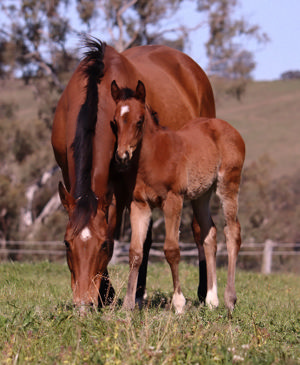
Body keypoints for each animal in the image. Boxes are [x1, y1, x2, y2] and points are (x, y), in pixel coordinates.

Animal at [51, 37, 216, 310]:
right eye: (66, 243)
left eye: (104, 245)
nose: (83, 304)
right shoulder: (68, 174)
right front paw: (110, 294)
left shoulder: (120, 188)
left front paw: (106, 295)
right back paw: (139, 293)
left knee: (198, 227)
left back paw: (204, 293)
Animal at [111, 79, 245, 312]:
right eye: (115, 121)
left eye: (139, 121)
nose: (122, 156)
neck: (153, 157)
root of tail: (231, 130)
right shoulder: (139, 204)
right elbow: (135, 252)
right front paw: (128, 304)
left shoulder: (173, 200)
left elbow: (171, 250)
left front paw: (179, 304)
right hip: (202, 195)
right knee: (210, 234)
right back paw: (211, 300)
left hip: (228, 184)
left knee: (232, 232)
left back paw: (230, 299)